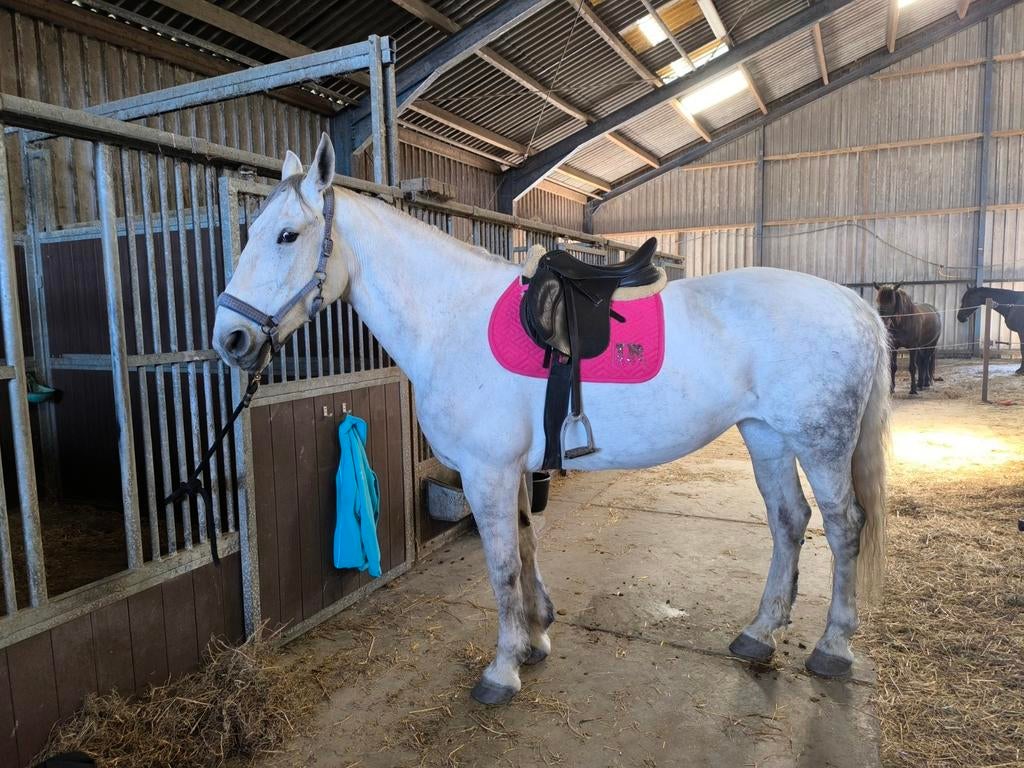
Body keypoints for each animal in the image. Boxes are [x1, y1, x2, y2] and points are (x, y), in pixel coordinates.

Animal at [212, 135, 891, 704]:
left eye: (286, 236)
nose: (231, 338)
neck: (451, 317)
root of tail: (856, 306)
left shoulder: (486, 471)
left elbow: (502, 566)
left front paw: (502, 668)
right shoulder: (510, 470)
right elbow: (526, 543)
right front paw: (536, 637)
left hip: (821, 444)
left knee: (843, 527)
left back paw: (832, 647)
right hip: (767, 437)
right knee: (788, 522)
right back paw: (759, 634)